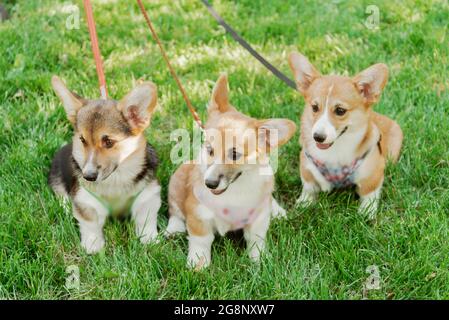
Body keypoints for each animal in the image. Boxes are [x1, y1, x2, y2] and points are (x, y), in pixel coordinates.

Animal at [48, 76, 161, 254]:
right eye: (82, 140)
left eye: (108, 142)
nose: (88, 176)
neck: (116, 179)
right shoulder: (85, 201)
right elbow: (90, 224)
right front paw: (93, 246)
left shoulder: (148, 194)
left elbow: (146, 219)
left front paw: (149, 240)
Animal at [166, 74, 296, 268]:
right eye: (209, 150)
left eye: (234, 154)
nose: (210, 183)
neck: (234, 191)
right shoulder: (198, 215)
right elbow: (200, 240)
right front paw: (197, 263)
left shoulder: (258, 220)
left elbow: (256, 240)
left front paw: (259, 261)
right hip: (176, 182)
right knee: (175, 210)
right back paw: (174, 229)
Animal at [288, 52, 402, 220]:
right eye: (314, 107)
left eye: (340, 110)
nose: (318, 137)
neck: (336, 150)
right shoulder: (307, 166)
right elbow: (309, 187)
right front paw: (304, 203)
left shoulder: (373, 173)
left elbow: (369, 193)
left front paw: (367, 212)